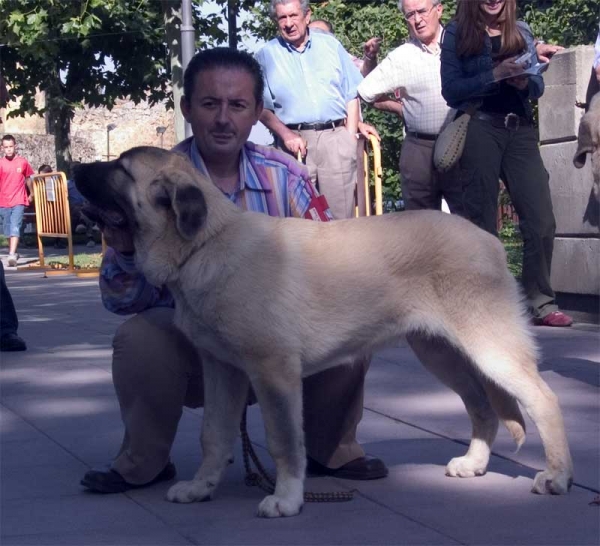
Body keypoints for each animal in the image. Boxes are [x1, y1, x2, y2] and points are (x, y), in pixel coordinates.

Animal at [74, 144, 572, 516]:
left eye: (120, 169)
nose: (75, 167)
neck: (204, 245)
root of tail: (489, 239)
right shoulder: (223, 371)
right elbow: (213, 434)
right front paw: (201, 488)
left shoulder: (273, 372)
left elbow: (284, 441)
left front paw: (287, 498)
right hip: (440, 353)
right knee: (482, 407)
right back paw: (474, 464)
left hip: (490, 347)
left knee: (542, 398)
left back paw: (557, 476)